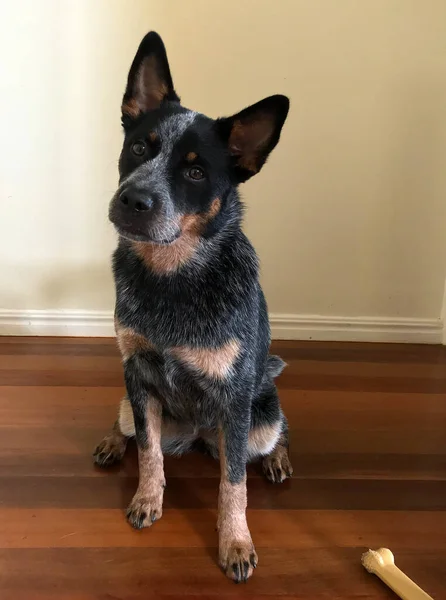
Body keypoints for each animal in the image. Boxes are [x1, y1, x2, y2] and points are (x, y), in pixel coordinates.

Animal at [94, 31, 292, 580]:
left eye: (197, 171)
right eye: (139, 147)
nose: (133, 199)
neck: (172, 276)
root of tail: (202, 437)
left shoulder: (235, 394)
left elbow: (232, 485)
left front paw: (235, 542)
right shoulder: (137, 370)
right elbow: (149, 454)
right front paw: (147, 498)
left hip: (259, 416)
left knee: (267, 439)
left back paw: (276, 459)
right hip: (138, 404)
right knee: (131, 426)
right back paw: (113, 441)